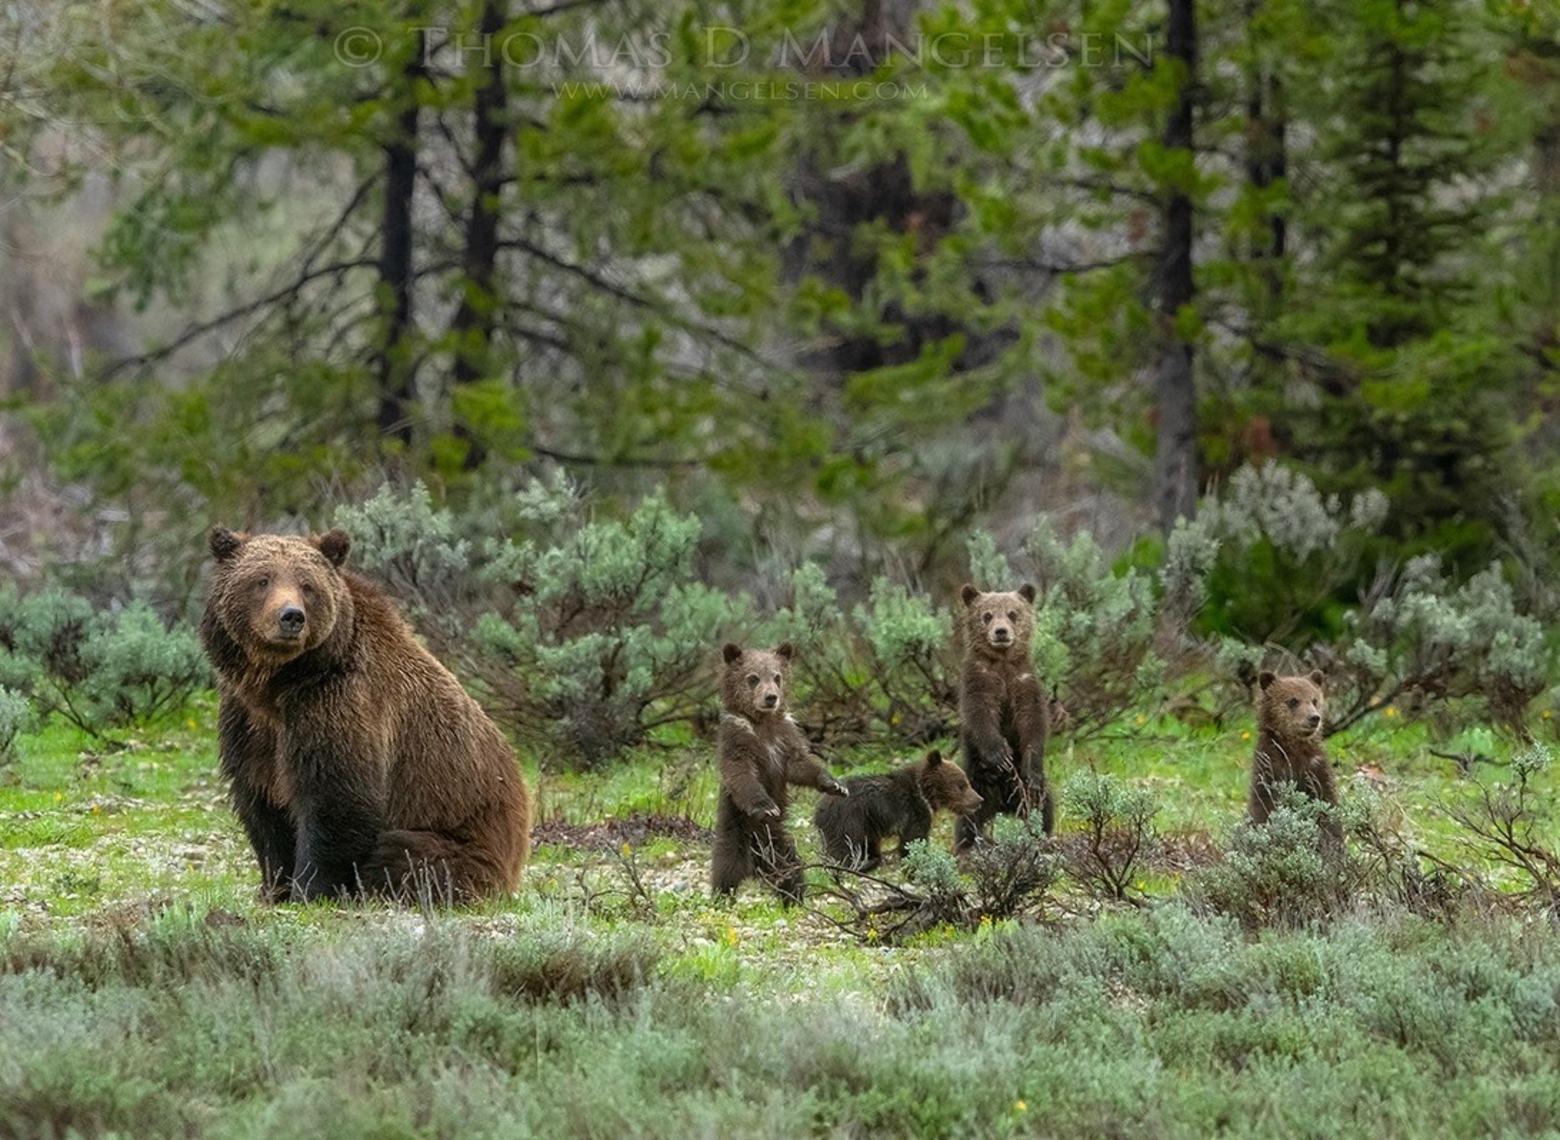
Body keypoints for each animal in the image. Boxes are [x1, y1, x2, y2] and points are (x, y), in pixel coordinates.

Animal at [201, 527, 533, 910]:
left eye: (307, 585)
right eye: (262, 580)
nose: (291, 617)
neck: (280, 683)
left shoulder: (339, 703)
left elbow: (337, 800)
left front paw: (310, 890)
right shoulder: (248, 723)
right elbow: (263, 805)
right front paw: (274, 888)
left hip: (461, 841)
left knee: (402, 855)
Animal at [714, 645, 848, 904]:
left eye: (777, 677)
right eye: (753, 678)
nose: (771, 697)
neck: (762, 722)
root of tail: (757, 865)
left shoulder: (785, 738)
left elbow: (800, 765)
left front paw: (835, 785)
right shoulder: (739, 739)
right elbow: (741, 773)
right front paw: (766, 805)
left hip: (779, 843)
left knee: (792, 868)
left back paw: (794, 896)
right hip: (735, 833)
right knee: (726, 868)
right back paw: (722, 897)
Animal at [811, 754, 979, 867]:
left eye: (966, 782)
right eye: (962, 785)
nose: (979, 800)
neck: (925, 794)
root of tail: (819, 809)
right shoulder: (914, 812)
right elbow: (913, 838)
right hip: (850, 820)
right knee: (846, 846)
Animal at [948, 589, 1048, 848]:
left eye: (1013, 613)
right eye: (987, 615)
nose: (1001, 632)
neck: (1002, 664)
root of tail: (1003, 805)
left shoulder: (1024, 684)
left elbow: (1033, 722)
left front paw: (1032, 768)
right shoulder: (979, 682)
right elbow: (980, 715)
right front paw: (1000, 754)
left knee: (1043, 807)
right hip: (975, 785)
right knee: (969, 819)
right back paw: (968, 843)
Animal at [1241, 673, 1341, 842]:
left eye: (1314, 700)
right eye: (1293, 700)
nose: (1314, 718)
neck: (1294, 749)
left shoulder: (1316, 769)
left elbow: (1326, 804)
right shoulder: (1270, 768)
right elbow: (1263, 807)